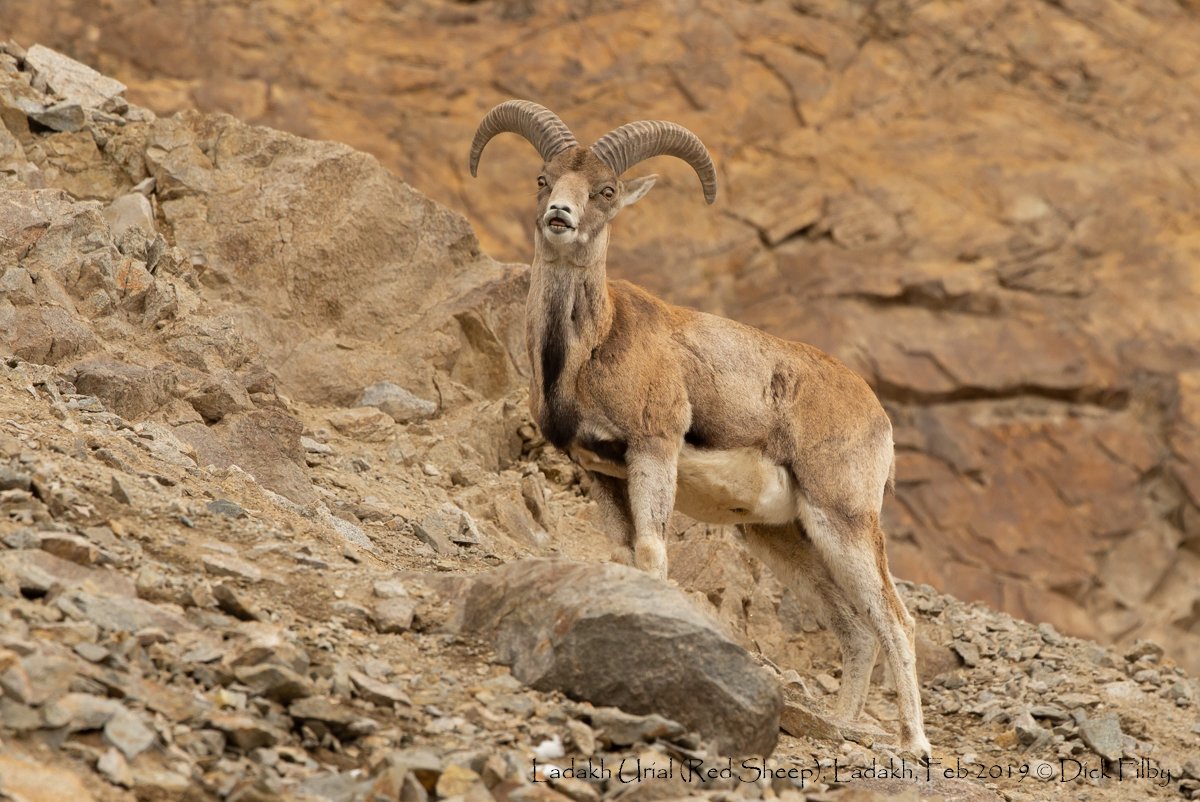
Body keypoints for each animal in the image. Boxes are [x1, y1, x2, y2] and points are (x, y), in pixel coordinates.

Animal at [465, 100, 926, 758]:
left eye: (605, 191)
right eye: (543, 179)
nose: (560, 215)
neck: (587, 350)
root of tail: (876, 416)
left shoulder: (654, 452)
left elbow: (653, 555)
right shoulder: (601, 473)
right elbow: (623, 555)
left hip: (844, 521)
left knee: (894, 620)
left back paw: (915, 746)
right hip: (786, 537)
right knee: (855, 629)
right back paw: (841, 728)